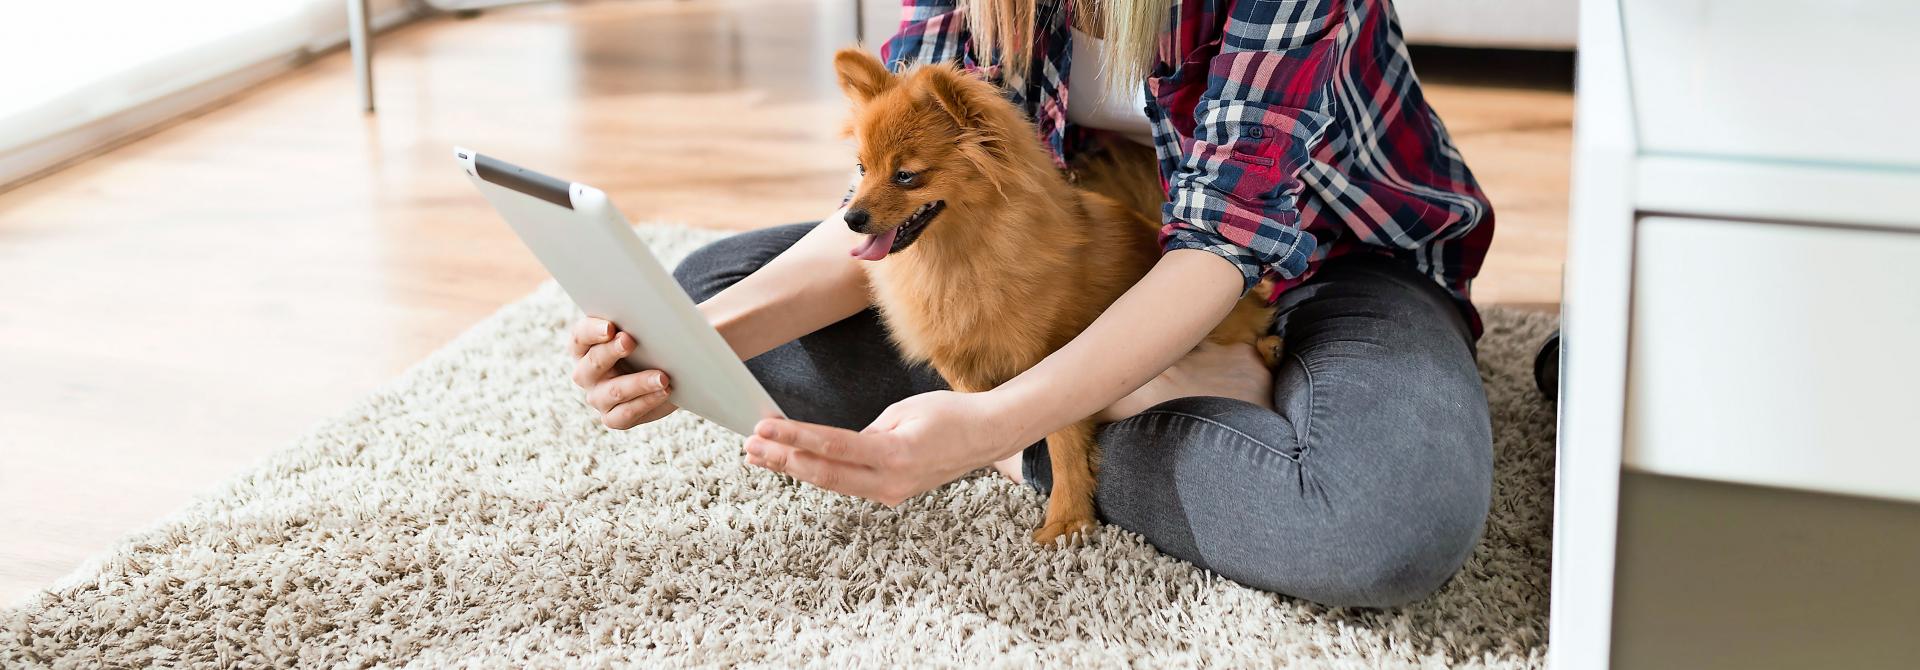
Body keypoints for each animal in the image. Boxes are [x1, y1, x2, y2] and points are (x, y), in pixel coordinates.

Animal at [833, 48, 1282, 541]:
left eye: (905, 176)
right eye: (862, 169)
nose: (850, 218)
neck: (955, 256)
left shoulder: (1051, 356)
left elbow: (1063, 440)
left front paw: (1067, 519)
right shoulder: (958, 359)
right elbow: (983, 404)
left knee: (1256, 317)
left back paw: (1269, 349)